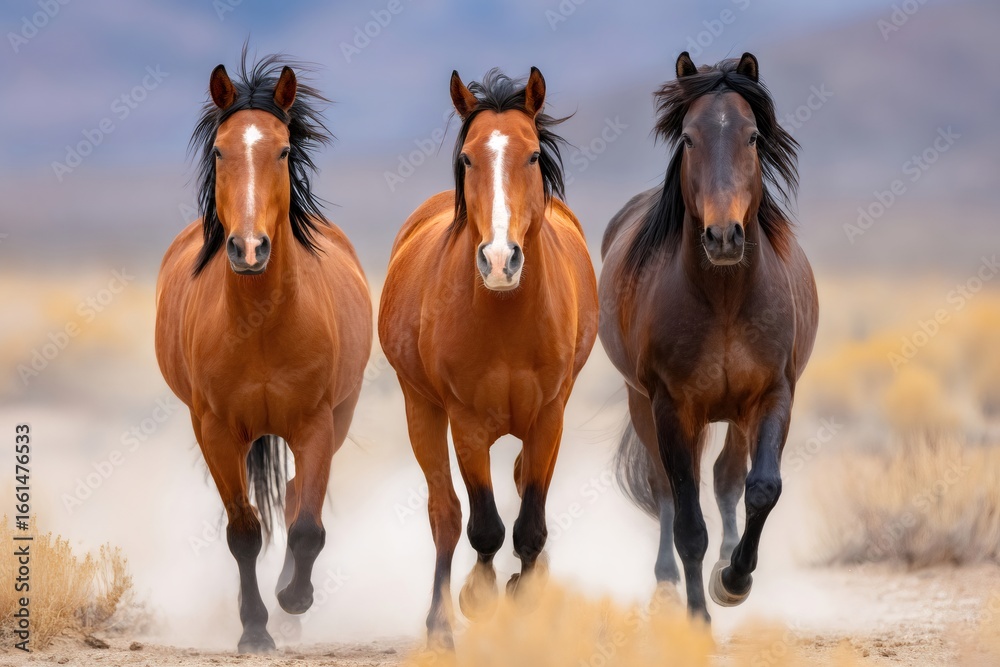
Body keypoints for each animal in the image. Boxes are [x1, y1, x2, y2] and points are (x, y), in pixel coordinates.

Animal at [155, 51, 372, 652]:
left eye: (283, 150)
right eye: (219, 150)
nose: (249, 249)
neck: (260, 325)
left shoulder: (316, 424)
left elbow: (307, 526)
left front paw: (293, 600)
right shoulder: (216, 430)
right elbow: (244, 532)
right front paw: (254, 629)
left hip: (338, 418)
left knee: (297, 495)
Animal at [378, 67, 598, 647]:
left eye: (533, 155)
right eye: (468, 158)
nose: (500, 260)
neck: (505, 318)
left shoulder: (549, 416)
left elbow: (530, 523)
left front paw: (528, 593)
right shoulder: (466, 421)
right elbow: (483, 525)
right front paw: (477, 596)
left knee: (519, 483)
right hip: (420, 410)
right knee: (445, 513)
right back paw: (439, 624)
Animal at [598, 52, 818, 622]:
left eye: (753, 136)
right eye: (689, 138)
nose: (723, 236)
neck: (724, 299)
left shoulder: (773, 394)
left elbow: (760, 489)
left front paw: (734, 579)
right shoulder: (672, 406)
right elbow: (687, 522)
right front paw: (697, 617)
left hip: (734, 414)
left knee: (724, 477)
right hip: (644, 403)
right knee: (668, 492)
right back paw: (667, 587)